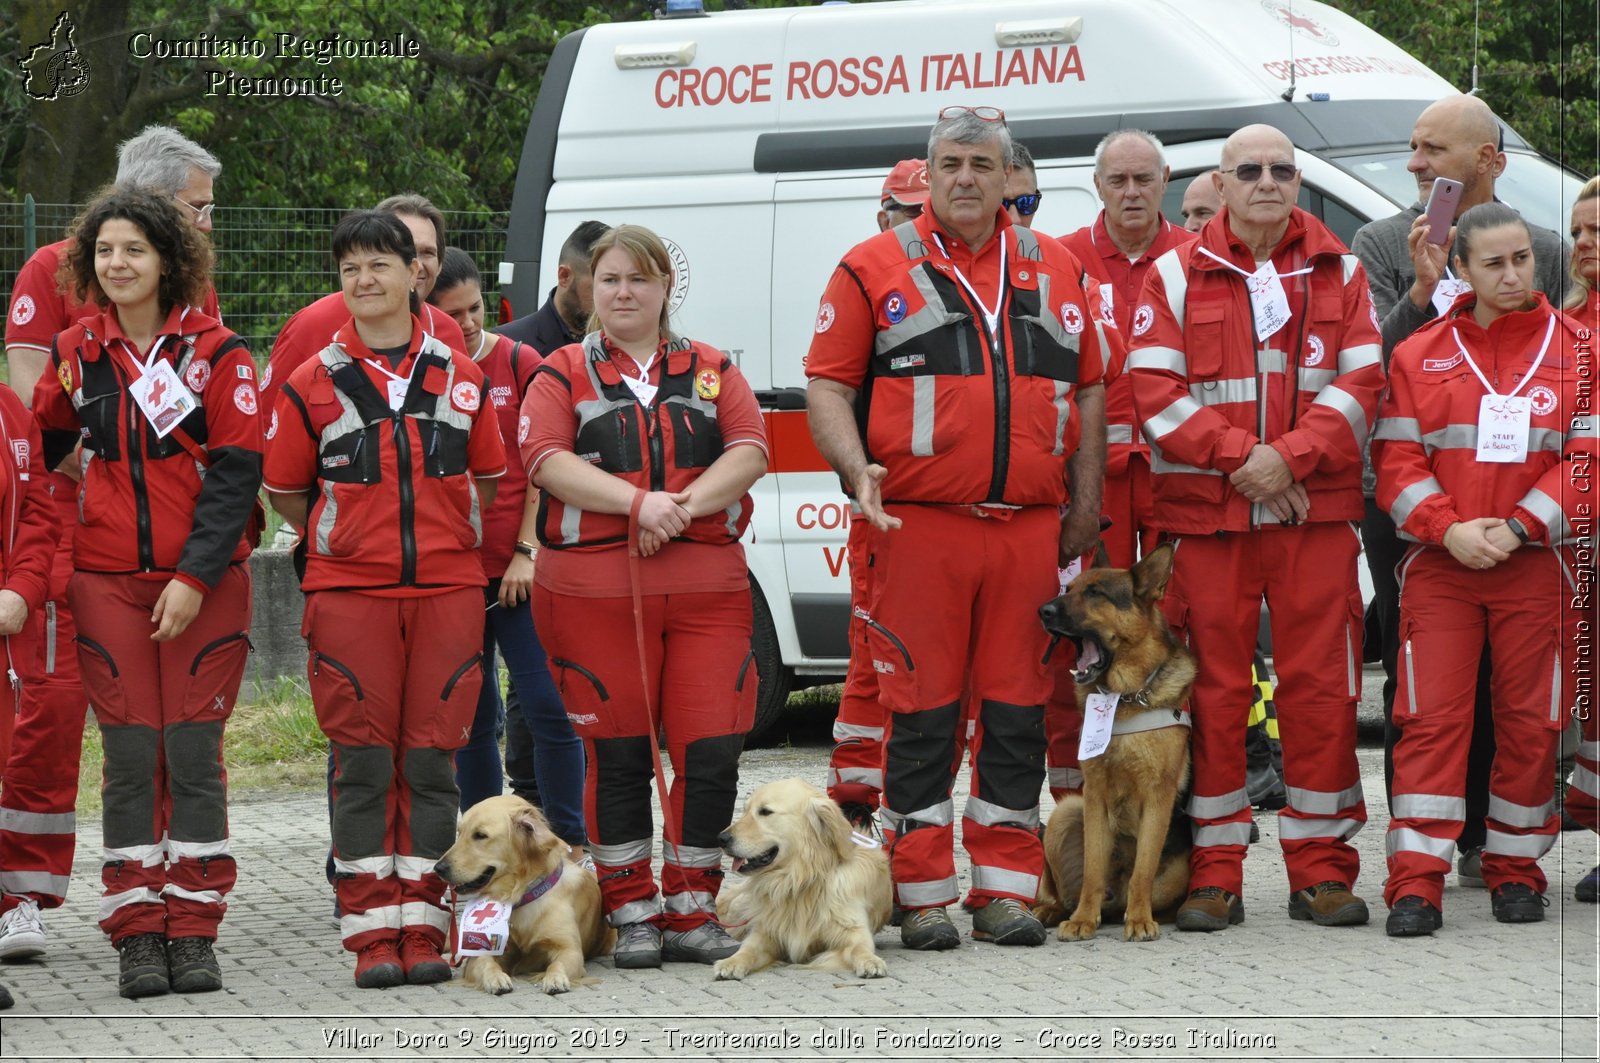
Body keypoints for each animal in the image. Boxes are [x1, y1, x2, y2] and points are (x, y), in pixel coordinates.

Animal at [1030, 544, 1196, 941]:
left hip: (1177, 871)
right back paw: (1051, 910)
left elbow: (1143, 869)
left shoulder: (1157, 798)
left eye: (1095, 593)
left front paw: (1139, 919)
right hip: (1066, 810)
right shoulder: (1095, 794)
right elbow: (1093, 867)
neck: (1126, 699)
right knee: (1063, 890)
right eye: (1069, 588)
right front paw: (1082, 920)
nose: (1043, 611)